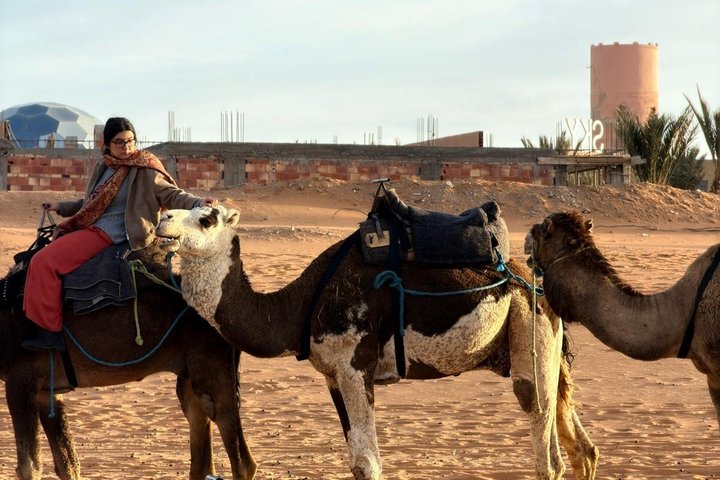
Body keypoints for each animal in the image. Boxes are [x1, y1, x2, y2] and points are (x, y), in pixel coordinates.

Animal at [0, 244, 256, 480]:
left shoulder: (20, 381)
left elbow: (29, 467)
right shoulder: (47, 391)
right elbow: (67, 463)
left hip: (213, 367)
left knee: (240, 455)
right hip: (190, 375)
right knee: (200, 437)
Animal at [156, 205, 599, 480]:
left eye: (207, 218)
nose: (163, 218)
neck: (299, 303)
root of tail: (532, 277)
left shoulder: (355, 364)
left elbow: (368, 464)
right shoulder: (333, 375)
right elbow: (356, 460)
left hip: (529, 324)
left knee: (542, 433)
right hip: (546, 345)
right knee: (580, 446)